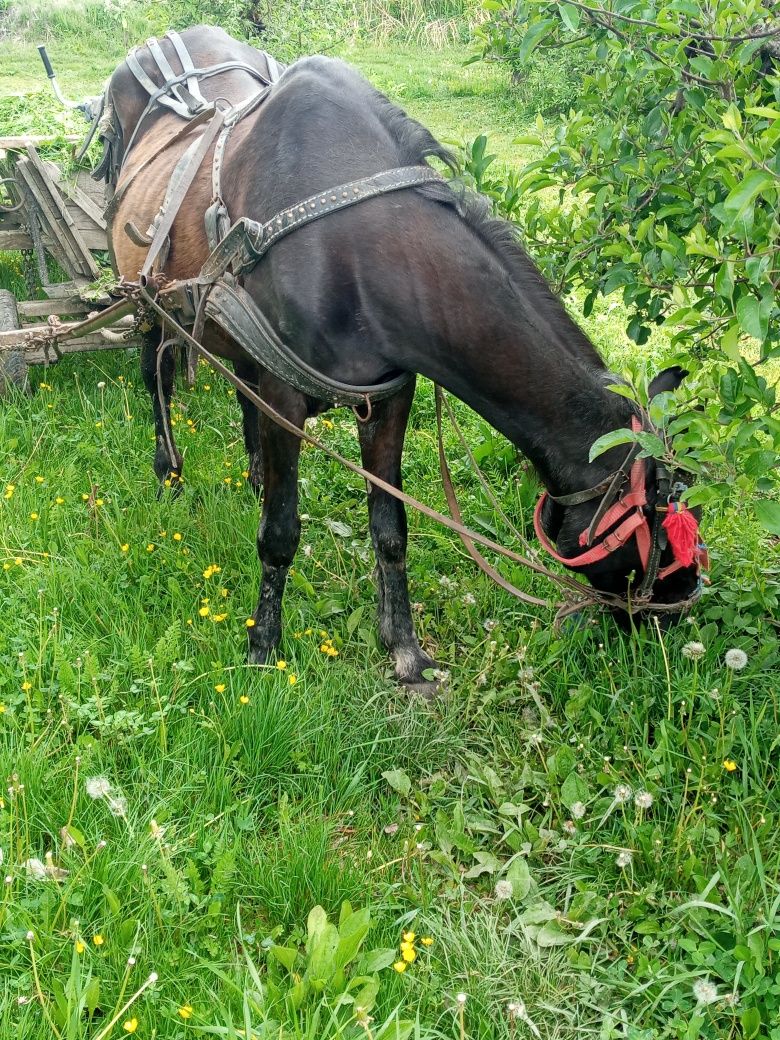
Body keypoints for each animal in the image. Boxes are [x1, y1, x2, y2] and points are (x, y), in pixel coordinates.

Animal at [100, 26, 707, 690]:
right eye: (659, 523)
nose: (682, 602)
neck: (352, 246)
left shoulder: (389, 396)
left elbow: (390, 529)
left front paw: (405, 650)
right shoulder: (286, 397)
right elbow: (280, 532)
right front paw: (263, 645)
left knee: (240, 385)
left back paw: (255, 472)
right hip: (146, 300)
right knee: (155, 371)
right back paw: (169, 469)